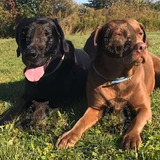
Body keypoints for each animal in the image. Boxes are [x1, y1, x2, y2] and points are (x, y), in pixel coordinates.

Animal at [56, 19, 160, 150]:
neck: (118, 78)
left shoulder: (144, 108)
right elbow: (81, 121)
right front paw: (69, 135)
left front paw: (132, 137)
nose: (142, 46)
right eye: (118, 35)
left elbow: (137, 121)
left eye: (140, 33)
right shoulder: (95, 107)